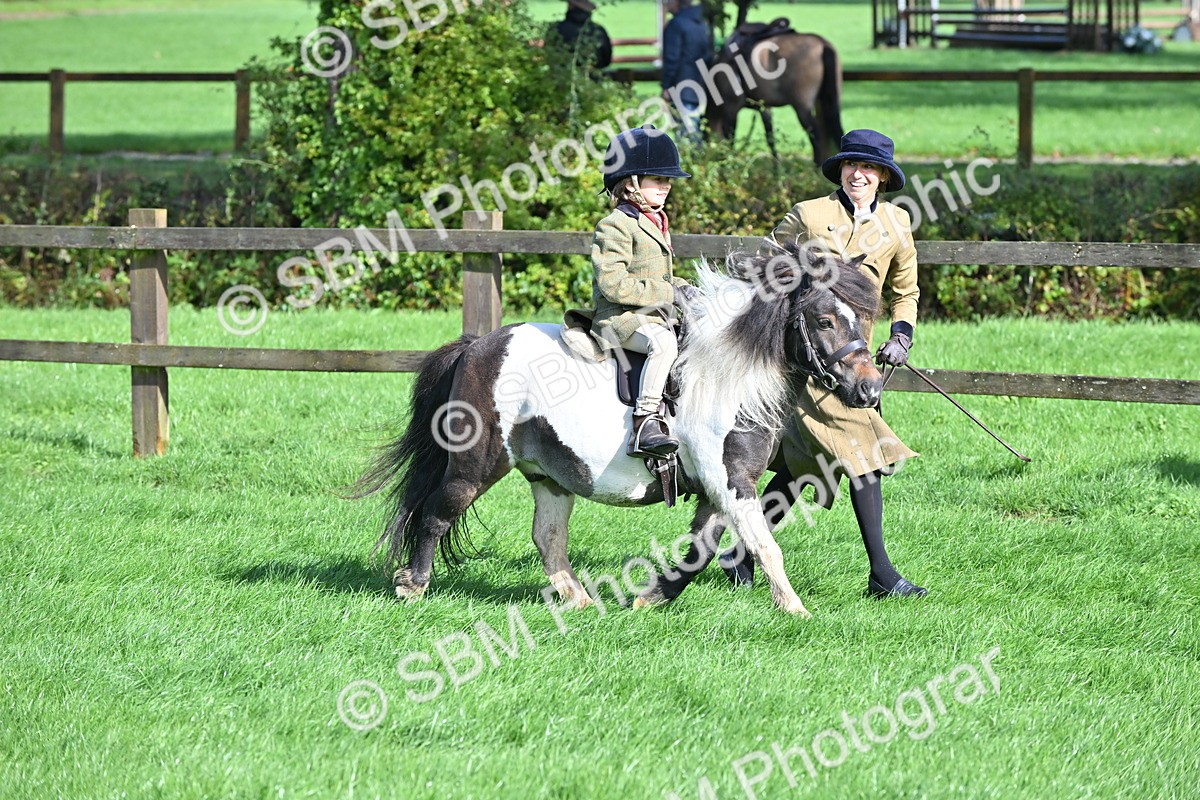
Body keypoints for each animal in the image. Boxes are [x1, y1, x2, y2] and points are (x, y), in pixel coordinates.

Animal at [353, 244, 883, 616]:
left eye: (864, 317)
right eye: (824, 320)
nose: (870, 388)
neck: (728, 377)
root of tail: (478, 346)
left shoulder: (720, 488)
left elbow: (703, 548)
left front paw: (652, 597)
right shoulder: (730, 480)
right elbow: (764, 545)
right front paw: (795, 609)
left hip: (549, 474)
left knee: (547, 537)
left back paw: (579, 600)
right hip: (475, 466)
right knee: (436, 514)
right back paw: (413, 586)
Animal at [704, 28, 844, 166]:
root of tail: (823, 44)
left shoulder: (731, 108)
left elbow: (730, 139)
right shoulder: (765, 107)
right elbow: (770, 138)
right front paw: (777, 170)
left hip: (802, 108)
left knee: (816, 135)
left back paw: (816, 168)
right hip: (827, 101)